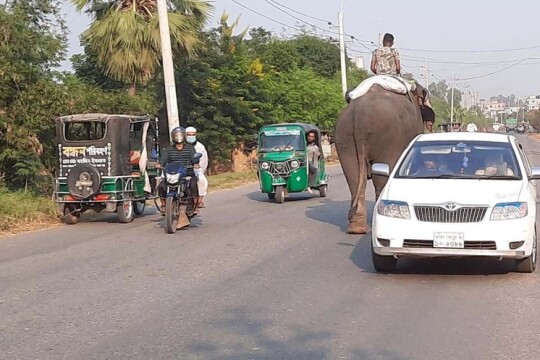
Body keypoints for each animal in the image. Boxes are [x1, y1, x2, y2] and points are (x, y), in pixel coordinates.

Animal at [334, 80, 434, 235]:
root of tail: (360, 114)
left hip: (344, 137)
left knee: (354, 177)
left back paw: (356, 228)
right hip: (388, 138)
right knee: (381, 177)